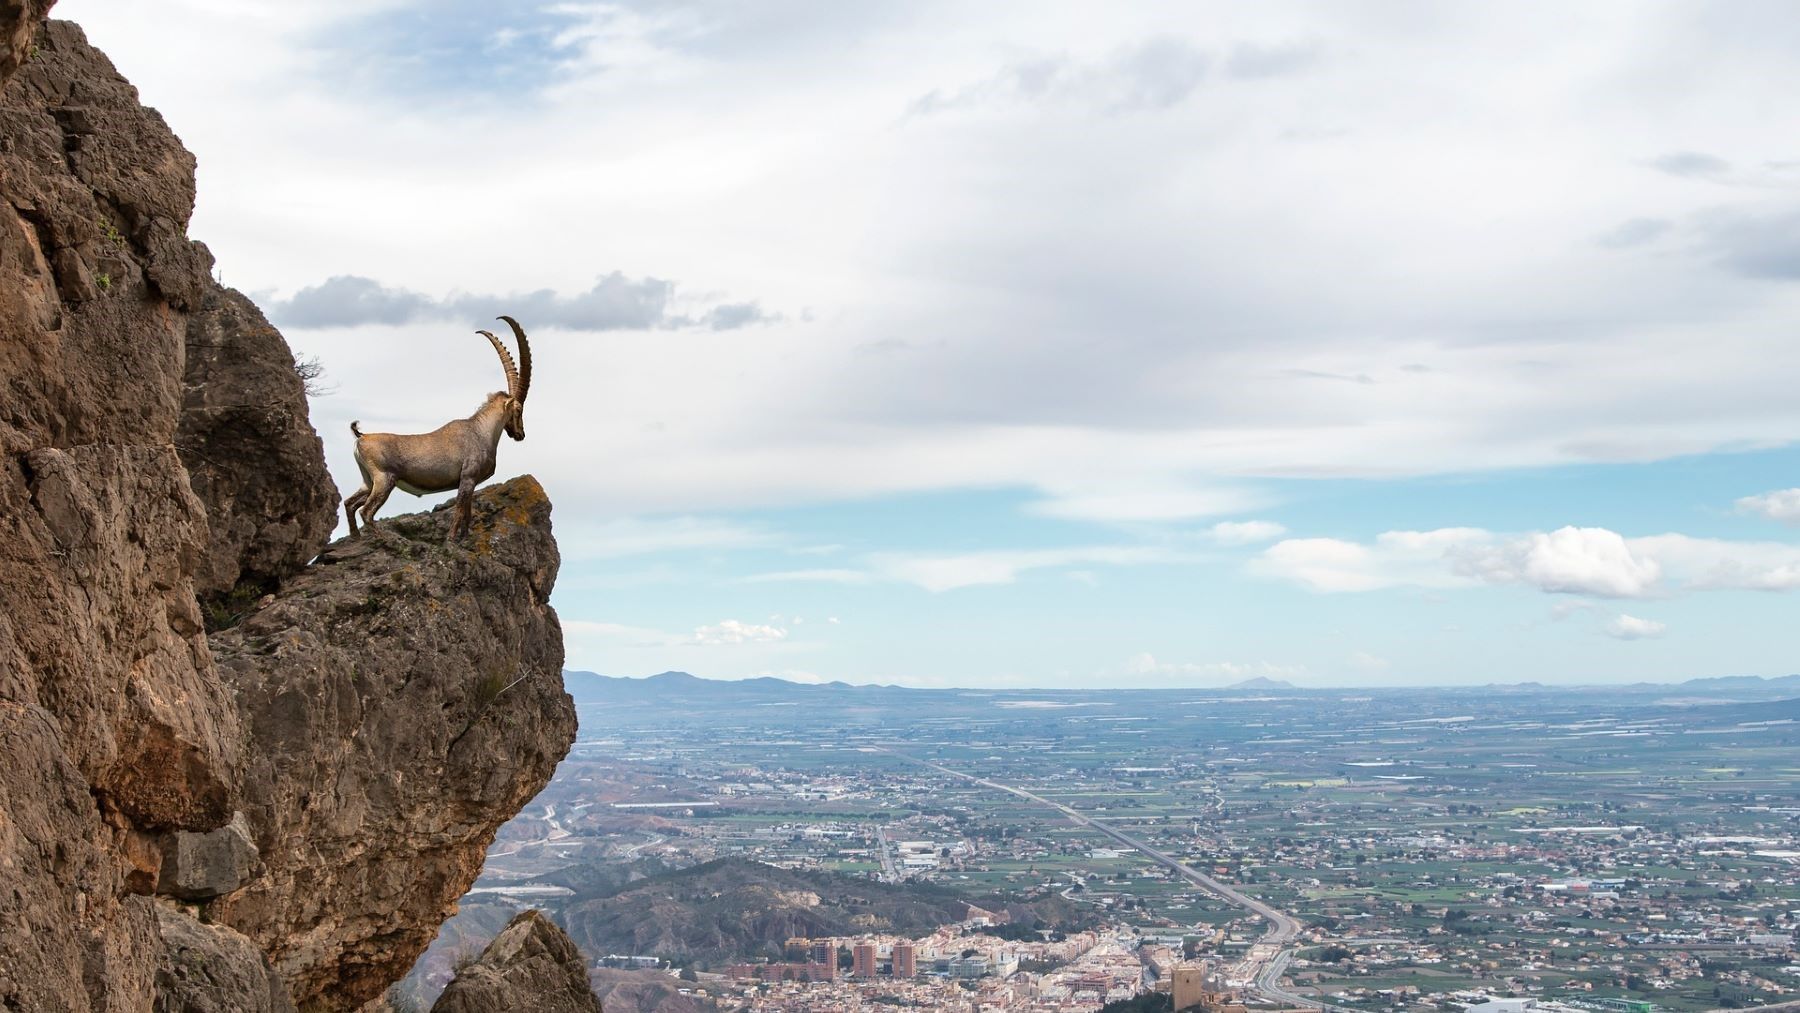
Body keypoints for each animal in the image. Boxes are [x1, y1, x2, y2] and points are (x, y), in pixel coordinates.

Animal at [344, 316, 532, 540]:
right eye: (519, 409)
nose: (520, 434)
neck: (480, 431)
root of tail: (361, 437)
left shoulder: (471, 483)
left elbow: (468, 514)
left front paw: (464, 538)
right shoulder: (467, 478)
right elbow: (459, 511)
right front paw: (451, 539)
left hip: (368, 480)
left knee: (349, 503)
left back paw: (356, 537)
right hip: (384, 479)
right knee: (366, 511)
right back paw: (384, 538)